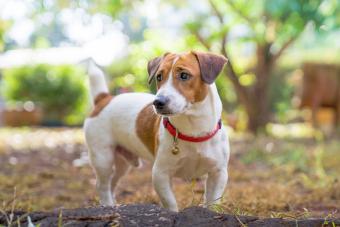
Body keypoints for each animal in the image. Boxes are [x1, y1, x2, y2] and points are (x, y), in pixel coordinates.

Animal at [83, 51, 230, 211]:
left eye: (184, 75)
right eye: (159, 77)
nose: (158, 102)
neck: (193, 131)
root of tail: (104, 99)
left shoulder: (218, 173)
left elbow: (213, 201)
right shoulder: (160, 174)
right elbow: (170, 203)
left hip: (122, 163)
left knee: (112, 182)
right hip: (103, 158)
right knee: (102, 185)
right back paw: (107, 205)